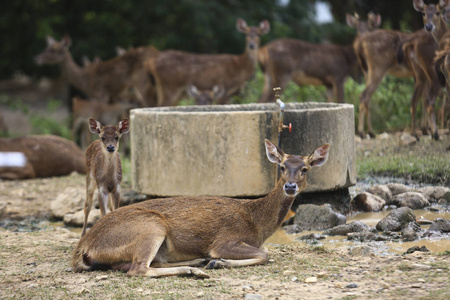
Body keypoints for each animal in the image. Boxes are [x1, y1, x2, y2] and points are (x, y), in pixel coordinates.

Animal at [72, 139, 328, 278]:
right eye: (282, 166)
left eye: (305, 169)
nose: (290, 186)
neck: (256, 223)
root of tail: (84, 246)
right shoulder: (225, 240)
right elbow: (265, 254)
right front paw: (218, 261)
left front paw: (215, 262)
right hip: (150, 226)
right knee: (138, 269)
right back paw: (195, 269)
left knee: (144, 263)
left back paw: (196, 262)